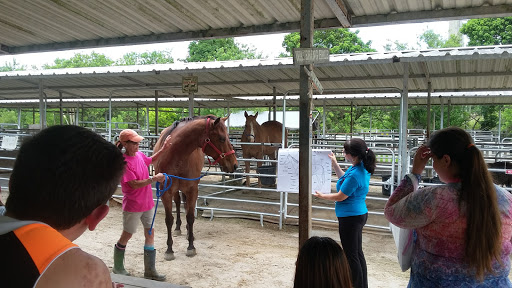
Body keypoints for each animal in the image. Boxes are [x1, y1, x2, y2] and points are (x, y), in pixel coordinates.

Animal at [153, 115, 239, 260]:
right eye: (222, 138)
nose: (235, 165)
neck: (176, 156)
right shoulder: (166, 191)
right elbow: (169, 219)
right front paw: (169, 250)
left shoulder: (192, 189)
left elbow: (190, 217)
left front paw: (191, 246)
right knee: (178, 203)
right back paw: (178, 229)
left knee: (186, 206)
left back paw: (189, 233)